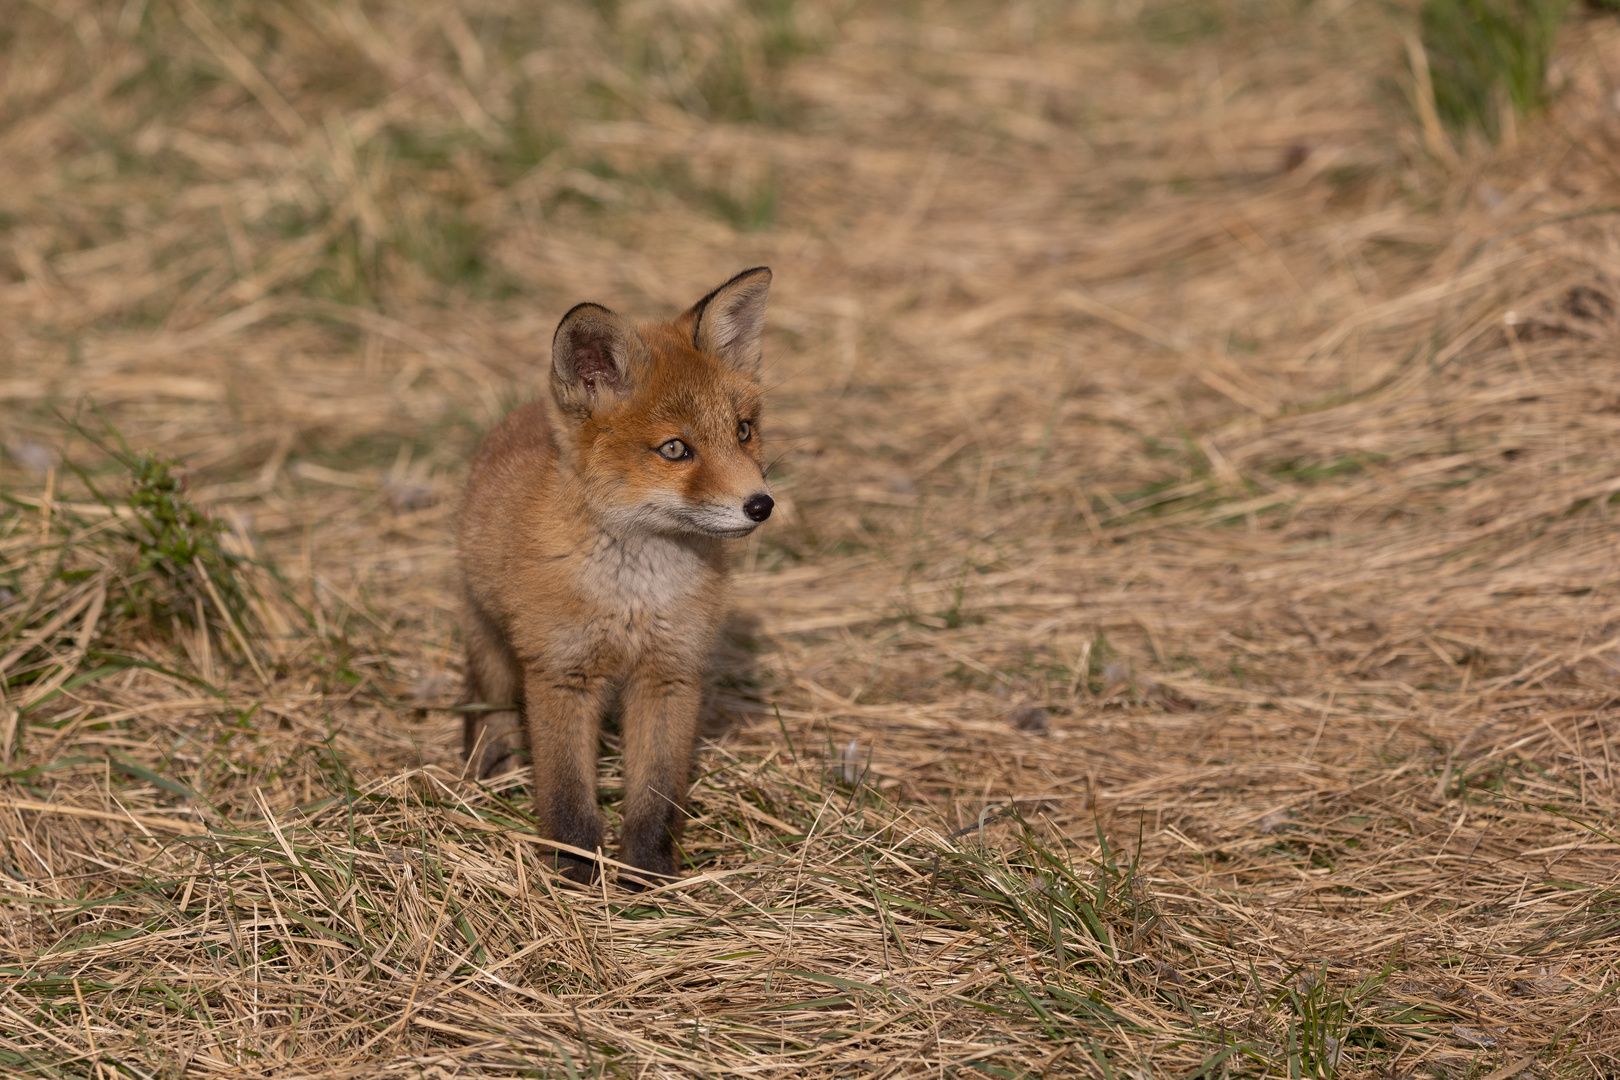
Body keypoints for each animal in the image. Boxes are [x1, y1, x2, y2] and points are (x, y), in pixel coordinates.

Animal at [456, 268, 777, 887]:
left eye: (744, 431)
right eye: (675, 449)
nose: (761, 505)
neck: (634, 596)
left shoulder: (670, 675)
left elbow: (656, 796)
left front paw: (649, 878)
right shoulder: (559, 673)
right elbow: (567, 795)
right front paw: (575, 874)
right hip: (493, 649)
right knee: (486, 705)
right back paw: (487, 770)